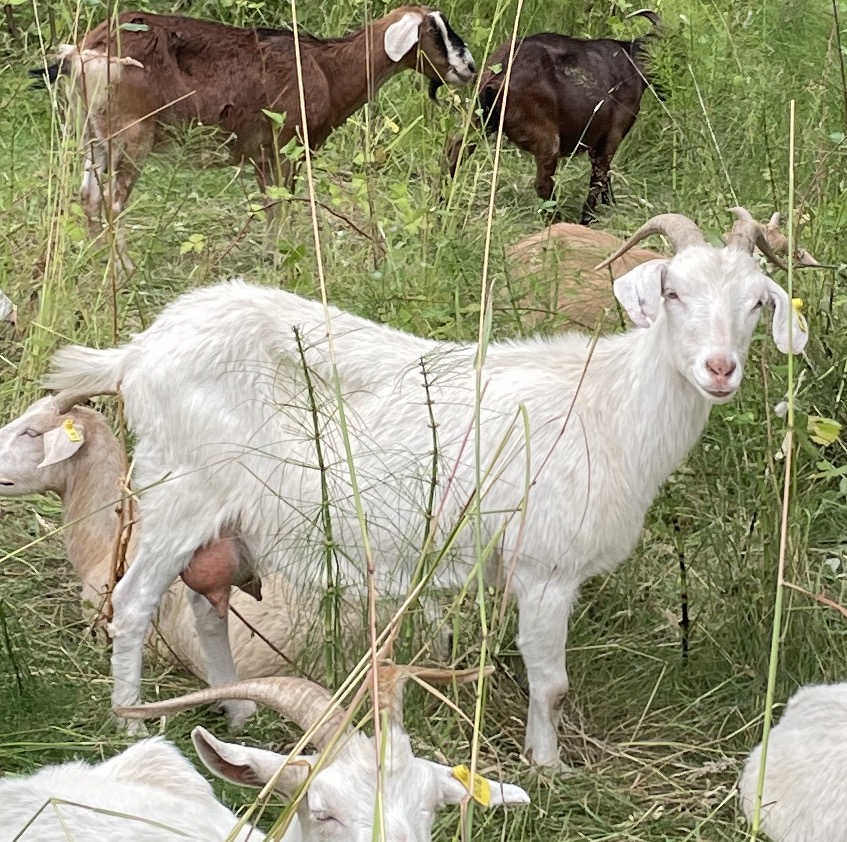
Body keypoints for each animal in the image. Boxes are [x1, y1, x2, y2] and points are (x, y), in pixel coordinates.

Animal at [43, 208, 808, 764]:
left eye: (755, 303)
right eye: (672, 291)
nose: (719, 369)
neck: (609, 403)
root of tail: (138, 352)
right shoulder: (544, 568)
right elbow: (551, 685)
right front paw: (547, 769)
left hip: (223, 517)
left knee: (208, 609)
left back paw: (236, 710)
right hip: (177, 492)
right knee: (133, 602)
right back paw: (129, 723)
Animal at [48, 6, 475, 259]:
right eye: (435, 32)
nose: (469, 67)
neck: (327, 69)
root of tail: (88, 49)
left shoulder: (260, 154)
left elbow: (270, 204)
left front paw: (270, 255)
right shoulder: (286, 145)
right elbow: (281, 205)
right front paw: (278, 256)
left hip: (92, 131)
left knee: (88, 196)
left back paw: (95, 258)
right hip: (131, 134)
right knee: (111, 201)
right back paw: (124, 266)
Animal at [447, 10, 660, 223]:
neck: (630, 62)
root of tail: (500, 73)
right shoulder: (613, 134)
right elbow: (599, 177)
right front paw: (587, 218)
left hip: (479, 120)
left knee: (455, 151)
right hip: (546, 139)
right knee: (543, 184)